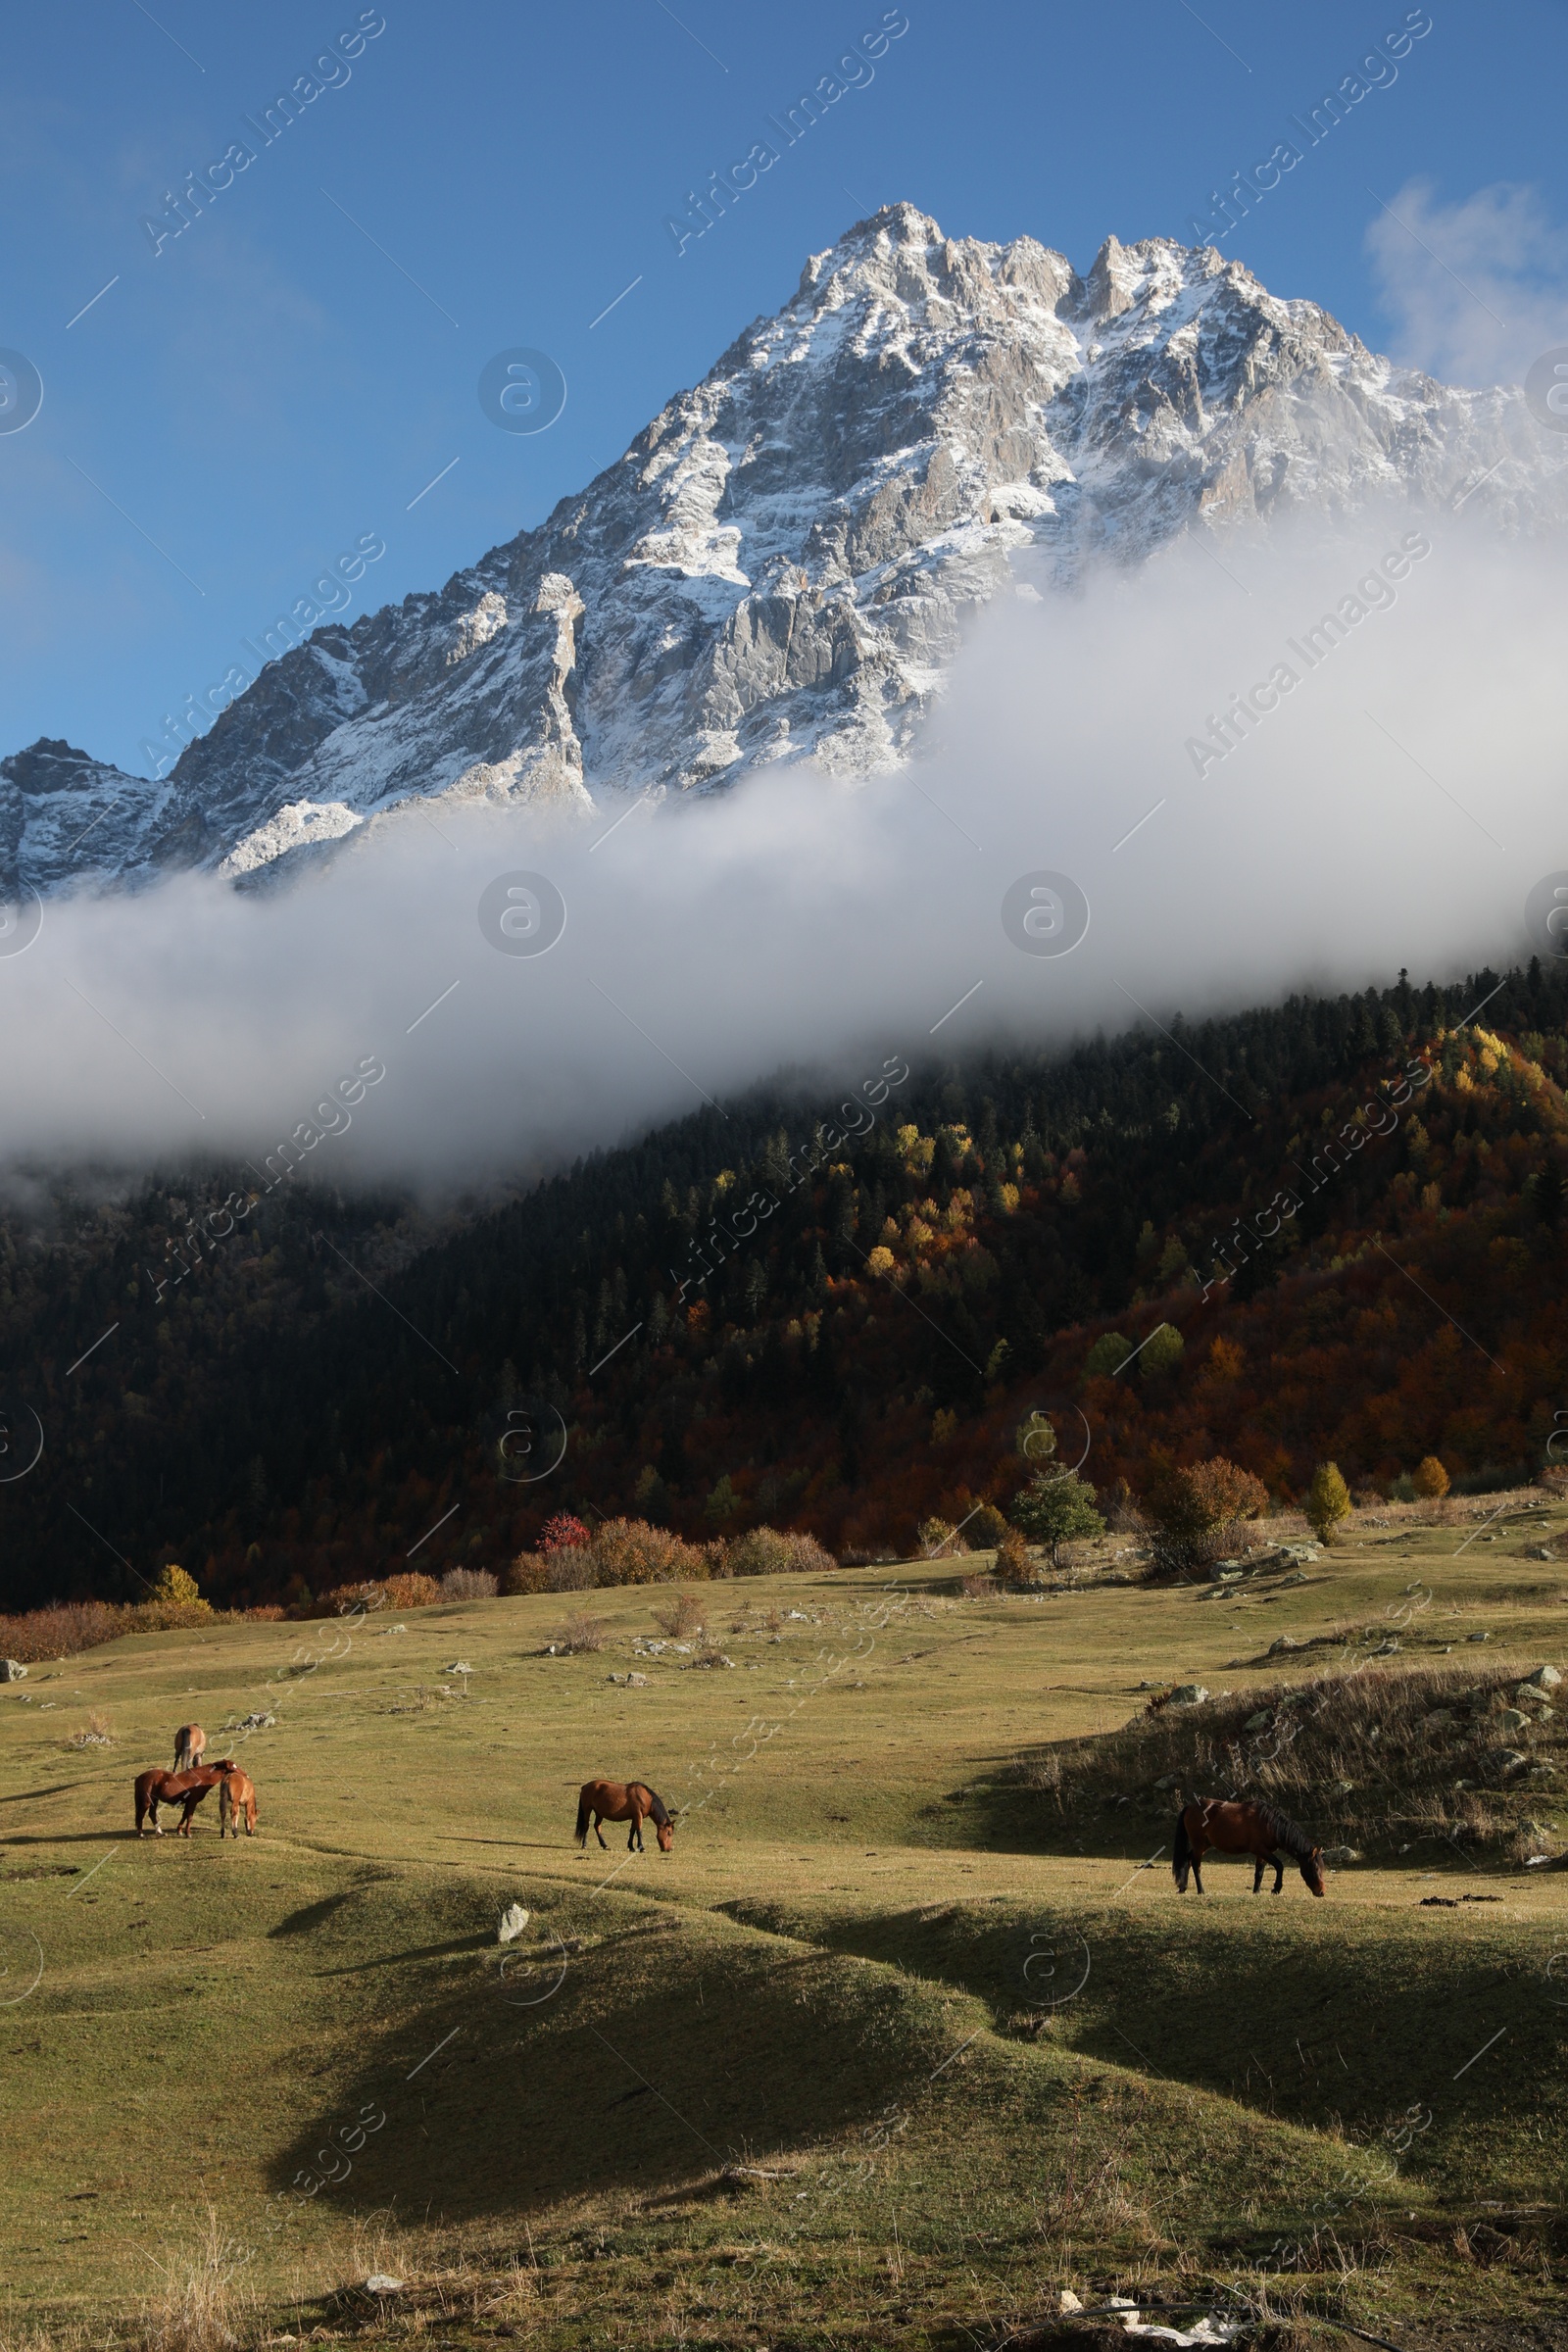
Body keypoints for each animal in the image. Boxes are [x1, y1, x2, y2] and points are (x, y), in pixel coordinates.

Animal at [1175, 1796, 1325, 1890]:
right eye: (1315, 1868)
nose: (1321, 1892)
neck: (1268, 1822)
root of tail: (1191, 1806)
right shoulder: (1260, 1849)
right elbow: (1279, 1866)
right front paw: (1276, 1888)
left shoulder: (1263, 1853)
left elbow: (1259, 1872)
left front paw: (1256, 1891)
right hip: (1199, 1844)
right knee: (1196, 1865)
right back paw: (1201, 1890)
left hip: (1204, 1844)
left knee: (1188, 1859)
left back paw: (1183, 1887)